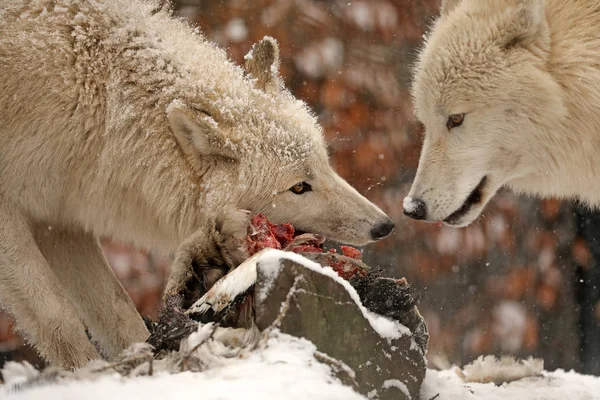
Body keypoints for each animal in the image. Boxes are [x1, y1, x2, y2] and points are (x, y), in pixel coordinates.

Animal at [0, 0, 394, 368]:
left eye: (325, 165)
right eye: (299, 187)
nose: (384, 226)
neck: (97, 103)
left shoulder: (60, 219)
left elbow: (117, 309)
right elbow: (59, 318)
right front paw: (88, 375)